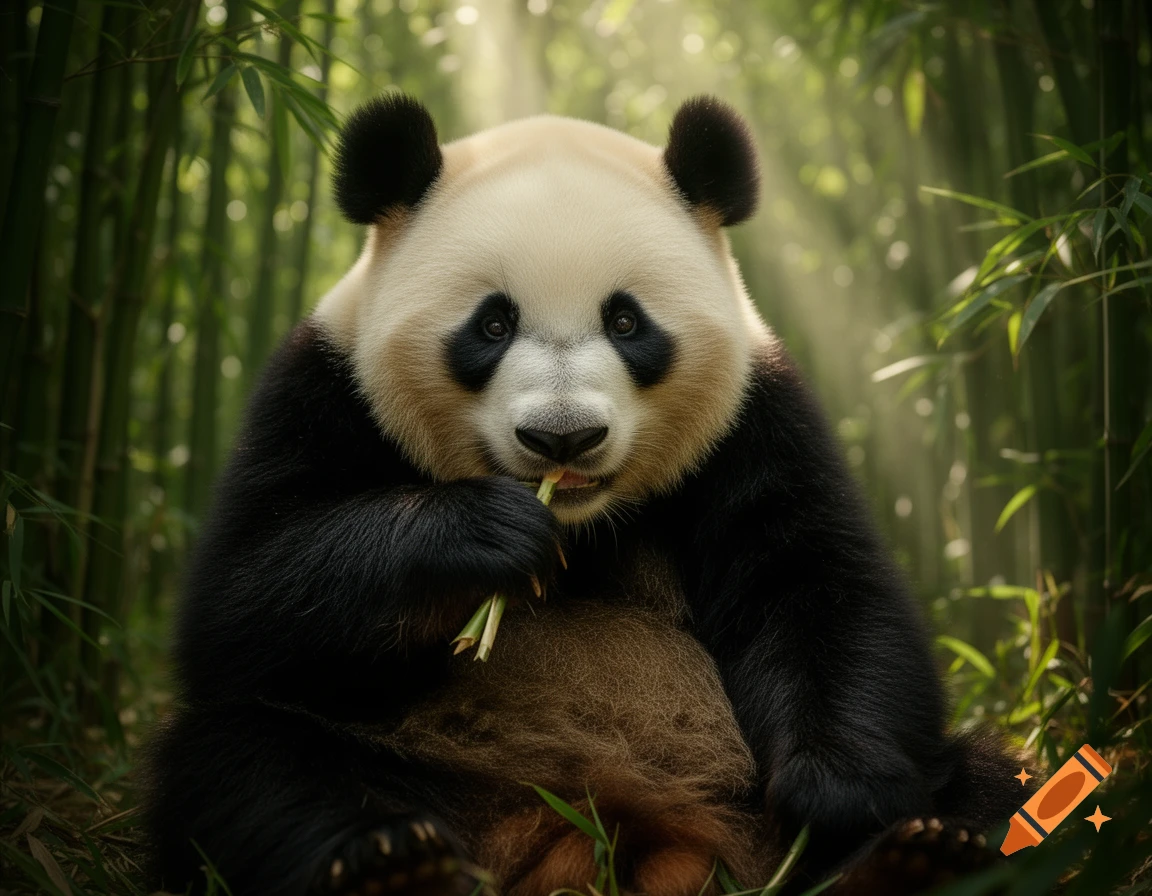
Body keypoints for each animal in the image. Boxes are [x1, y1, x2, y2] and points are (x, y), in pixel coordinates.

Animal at [144, 94, 1023, 896]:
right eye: (492, 324)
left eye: (626, 322)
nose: (561, 438)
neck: (580, 522)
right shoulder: (321, 391)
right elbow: (244, 601)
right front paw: (485, 536)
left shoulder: (757, 421)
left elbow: (817, 584)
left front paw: (836, 796)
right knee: (246, 762)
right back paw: (390, 862)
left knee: (991, 784)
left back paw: (910, 856)